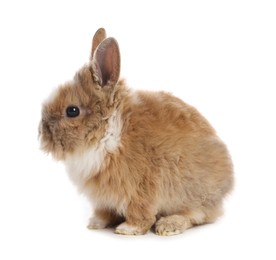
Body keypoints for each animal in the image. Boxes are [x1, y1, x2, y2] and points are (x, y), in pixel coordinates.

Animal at [38, 28, 233, 236]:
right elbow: (104, 212)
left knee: (196, 215)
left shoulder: (141, 188)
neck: (109, 133)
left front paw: (127, 229)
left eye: (72, 111)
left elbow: (140, 213)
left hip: (193, 193)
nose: (42, 133)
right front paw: (95, 223)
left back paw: (168, 225)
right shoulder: (102, 198)